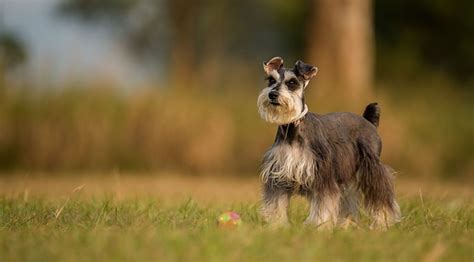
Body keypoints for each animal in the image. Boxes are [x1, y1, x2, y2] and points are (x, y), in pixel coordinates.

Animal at [260, 56, 400, 228]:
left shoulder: (323, 176)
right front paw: (276, 225)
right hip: (348, 177)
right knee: (349, 201)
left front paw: (318, 225)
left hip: (372, 168)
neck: (293, 129)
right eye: (271, 80)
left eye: (292, 83)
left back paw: (381, 223)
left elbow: (323, 204)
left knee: (381, 197)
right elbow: (276, 203)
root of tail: (368, 121)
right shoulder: (278, 176)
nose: (272, 94)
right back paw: (346, 224)